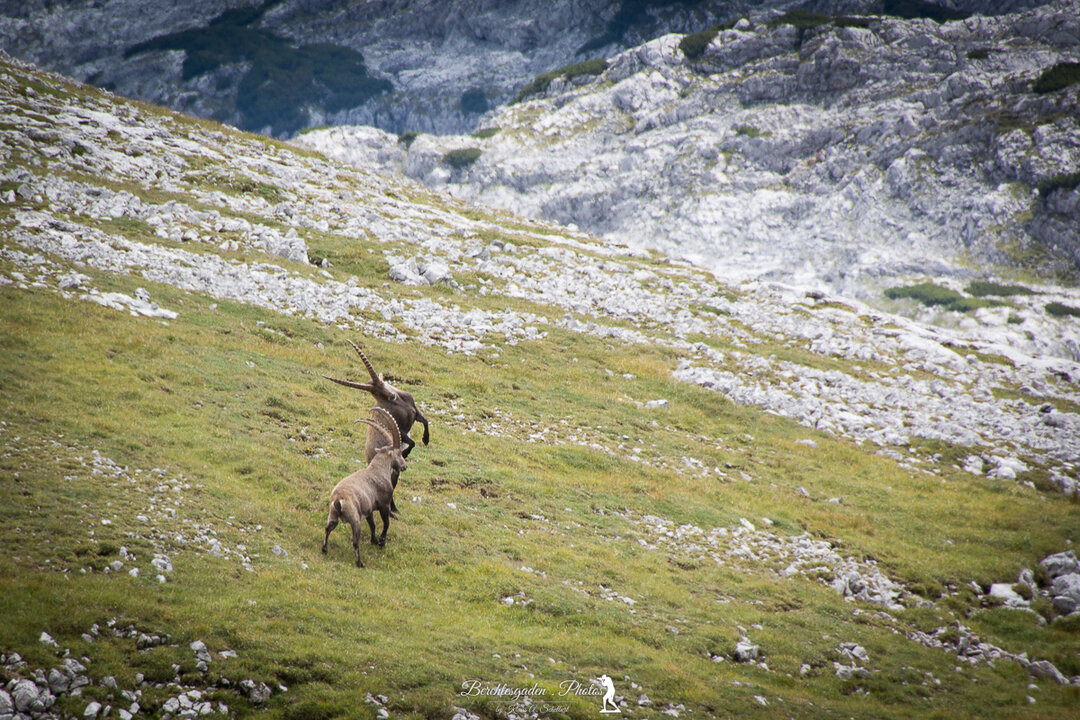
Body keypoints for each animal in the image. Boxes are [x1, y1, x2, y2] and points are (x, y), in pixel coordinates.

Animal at [322, 407, 406, 568]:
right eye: (399, 453)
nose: (405, 466)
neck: (377, 469)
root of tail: (338, 500)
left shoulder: (369, 509)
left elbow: (372, 525)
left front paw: (374, 540)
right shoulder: (384, 504)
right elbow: (386, 523)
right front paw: (381, 542)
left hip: (333, 515)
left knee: (328, 528)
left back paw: (324, 549)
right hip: (355, 520)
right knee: (355, 541)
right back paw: (360, 563)